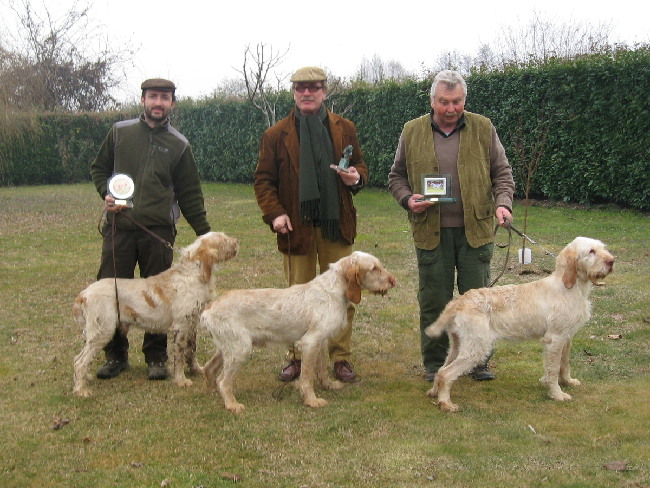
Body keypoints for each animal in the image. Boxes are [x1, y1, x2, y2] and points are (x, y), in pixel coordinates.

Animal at [73, 232, 238, 396]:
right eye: (223, 239)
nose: (237, 241)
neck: (193, 274)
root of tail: (83, 294)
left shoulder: (192, 323)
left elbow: (191, 350)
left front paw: (197, 369)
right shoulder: (182, 326)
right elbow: (179, 356)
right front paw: (181, 380)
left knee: (78, 359)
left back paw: (86, 378)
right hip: (103, 331)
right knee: (80, 362)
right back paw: (81, 390)